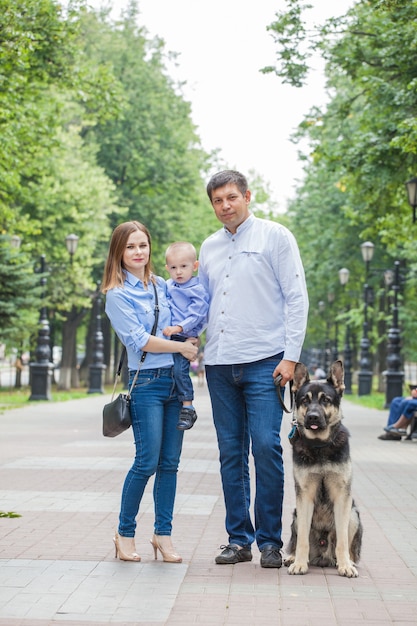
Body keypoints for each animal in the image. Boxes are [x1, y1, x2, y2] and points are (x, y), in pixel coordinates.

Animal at [282, 358, 360, 576]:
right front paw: (299, 563)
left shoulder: (342, 497)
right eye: (305, 400)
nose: (313, 417)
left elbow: (342, 541)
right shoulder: (305, 497)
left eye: (325, 400)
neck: (320, 447)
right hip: (296, 515)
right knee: (297, 539)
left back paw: (349, 561)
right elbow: (301, 540)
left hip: (353, 514)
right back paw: (292, 558)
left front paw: (345, 566)